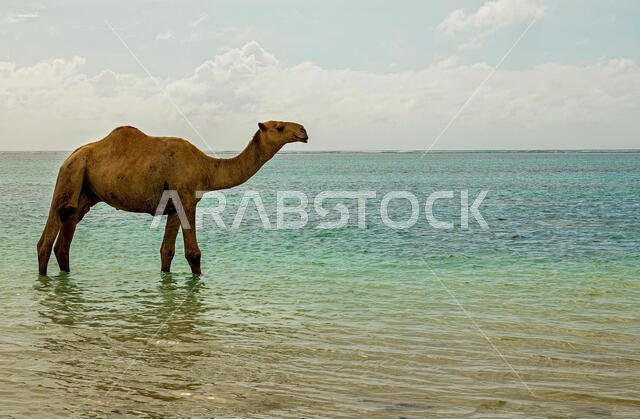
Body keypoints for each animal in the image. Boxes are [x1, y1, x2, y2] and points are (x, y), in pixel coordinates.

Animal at [37, 121, 308, 275]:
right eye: (279, 127)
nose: (304, 131)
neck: (206, 167)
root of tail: (71, 155)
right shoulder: (186, 197)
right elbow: (193, 253)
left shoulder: (175, 207)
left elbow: (166, 251)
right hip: (69, 176)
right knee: (47, 238)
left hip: (84, 194)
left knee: (65, 238)